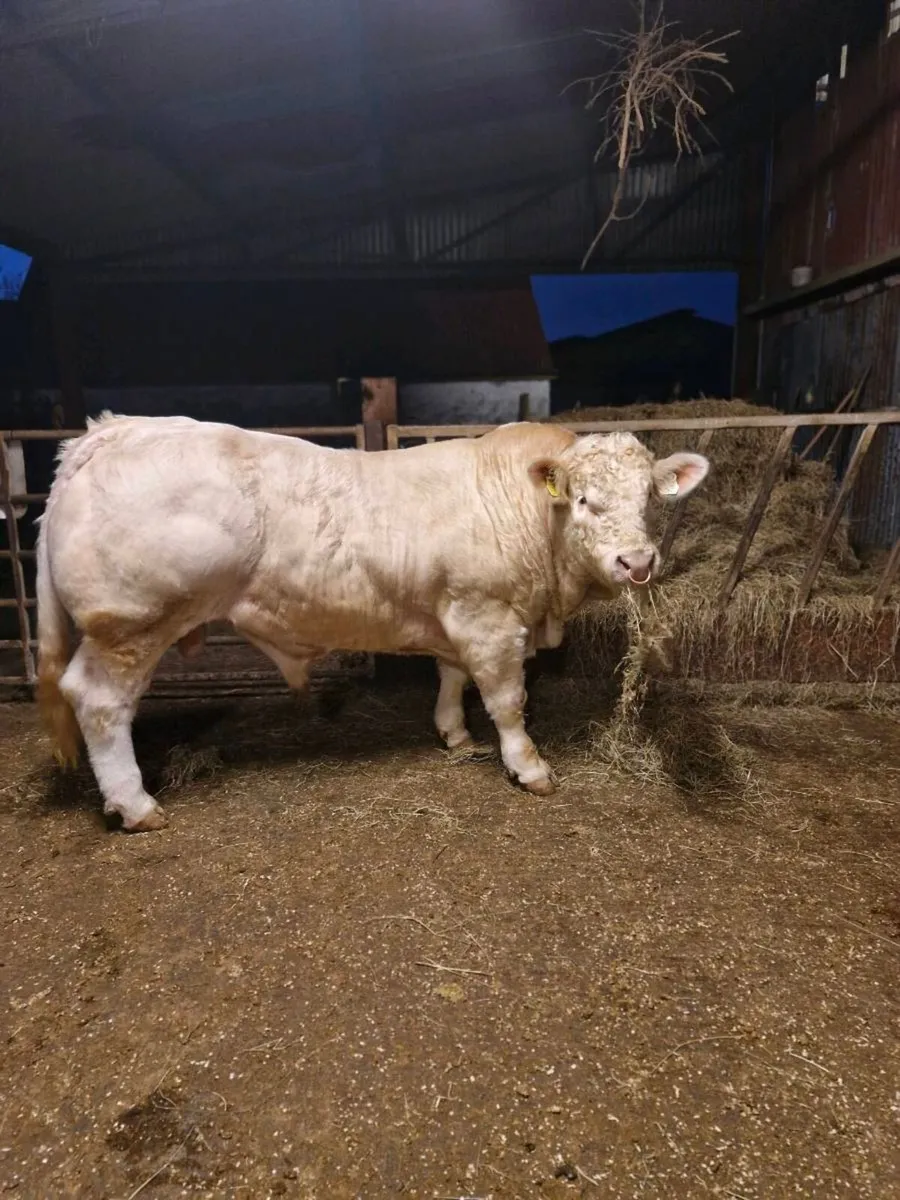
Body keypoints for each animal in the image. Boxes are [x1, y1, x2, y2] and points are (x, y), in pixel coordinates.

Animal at [35, 414, 709, 832]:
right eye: (584, 500)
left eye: (649, 499)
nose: (637, 562)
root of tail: (108, 432)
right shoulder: (489, 617)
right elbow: (506, 699)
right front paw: (529, 766)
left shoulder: (455, 610)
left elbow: (451, 676)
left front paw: (454, 735)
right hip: (129, 626)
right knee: (99, 704)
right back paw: (135, 804)